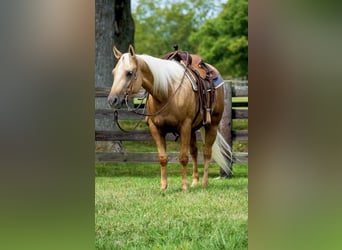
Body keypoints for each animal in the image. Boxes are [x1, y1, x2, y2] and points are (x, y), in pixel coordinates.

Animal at [109, 45, 232, 190]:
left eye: (129, 73)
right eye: (114, 73)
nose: (112, 100)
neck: (167, 92)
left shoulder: (184, 126)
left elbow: (183, 157)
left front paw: (184, 187)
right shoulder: (156, 129)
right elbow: (163, 158)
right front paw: (163, 186)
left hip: (212, 124)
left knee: (207, 152)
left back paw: (204, 183)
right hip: (193, 129)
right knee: (194, 152)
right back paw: (195, 182)